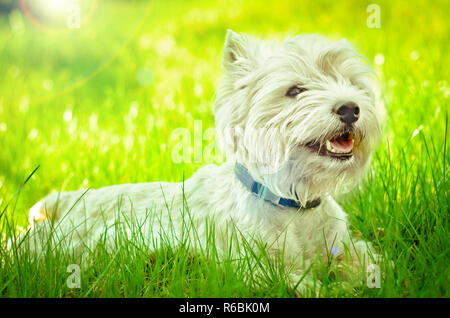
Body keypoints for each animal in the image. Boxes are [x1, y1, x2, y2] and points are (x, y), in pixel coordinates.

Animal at [24, 30, 384, 296]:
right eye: (295, 90)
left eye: (353, 84)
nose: (350, 108)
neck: (293, 203)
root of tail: (63, 202)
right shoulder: (254, 265)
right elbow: (302, 284)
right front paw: (334, 290)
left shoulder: (343, 246)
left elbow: (373, 264)